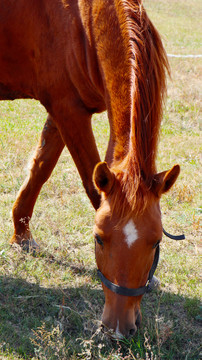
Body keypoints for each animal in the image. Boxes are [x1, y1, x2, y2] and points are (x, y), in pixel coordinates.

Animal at [0, 0, 180, 338]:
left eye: (156, 242)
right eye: (98, 238)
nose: (119, 327)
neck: (81, 20)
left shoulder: (65, 110)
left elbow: (41, 168)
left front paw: (21, 235)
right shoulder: (67, 109)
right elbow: (89, 186)